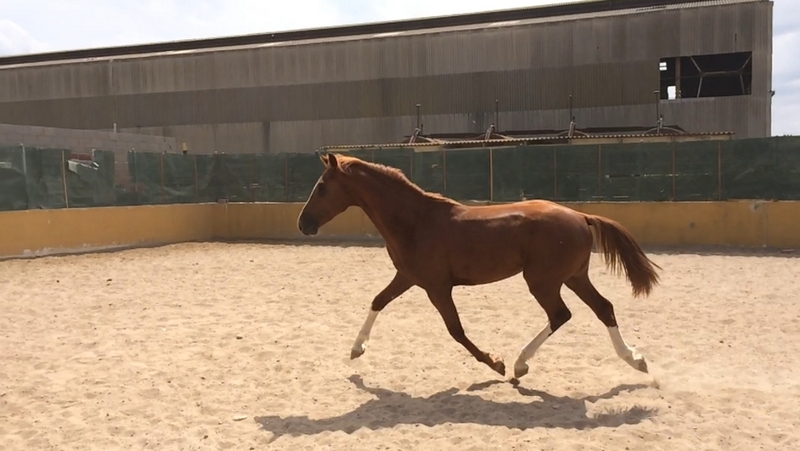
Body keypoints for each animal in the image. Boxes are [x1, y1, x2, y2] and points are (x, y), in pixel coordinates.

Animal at [297, 152, 661, 381]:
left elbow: (456, 331)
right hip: (573, 276)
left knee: (561, 315)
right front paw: (356, 349)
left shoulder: (437, 287)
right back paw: (635, 360)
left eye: (322, 187)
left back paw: (519, 364)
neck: (416, 221)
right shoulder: (408, 277)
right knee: (603, 308)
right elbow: (377, 301)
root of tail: (581, 216)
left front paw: (495, 364)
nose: (303, 224)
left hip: (543, 281)